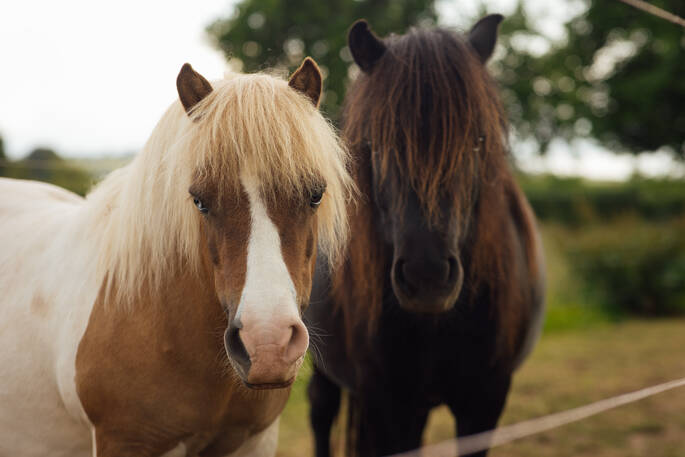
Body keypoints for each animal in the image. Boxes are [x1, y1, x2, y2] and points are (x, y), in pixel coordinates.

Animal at [305, 15, 545, 457]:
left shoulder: (485, 403)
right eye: (377, 144)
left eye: (477, 141)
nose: (427, 277)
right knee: (321, 412)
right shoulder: (388, 405)